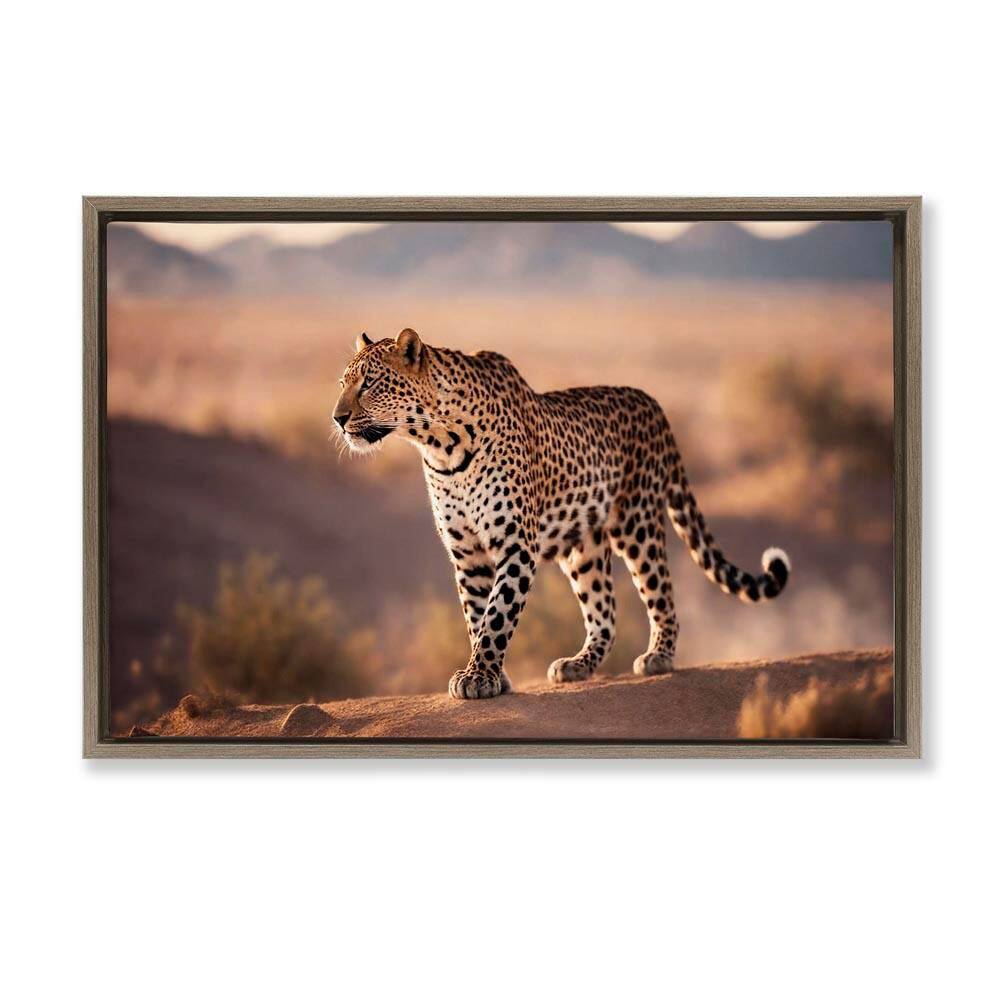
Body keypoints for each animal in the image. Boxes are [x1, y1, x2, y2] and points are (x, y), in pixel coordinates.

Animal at [333, 328, 790, 700]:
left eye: (370, 383)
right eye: (342, 383)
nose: (337, 418)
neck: (438, 445)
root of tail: (653, 404)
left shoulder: (515, 545)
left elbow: (498, 614)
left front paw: (479, 677)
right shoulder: (468, 553)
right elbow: (476, 614)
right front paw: (491, 676)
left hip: (637, 523)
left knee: (660, 591)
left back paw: (659, 656)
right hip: (584, 548)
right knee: (605, 612)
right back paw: (578, 664)